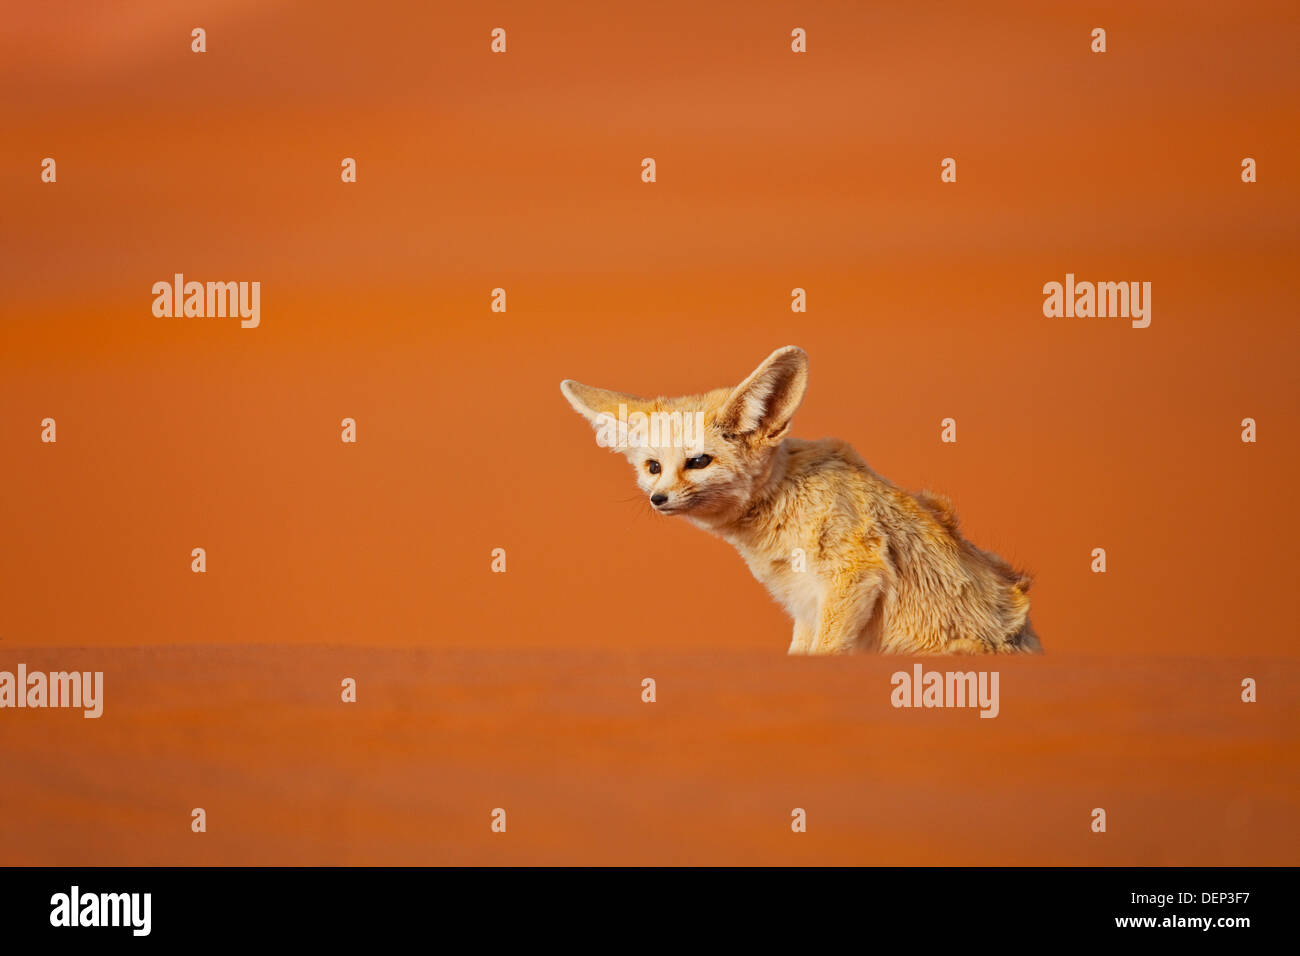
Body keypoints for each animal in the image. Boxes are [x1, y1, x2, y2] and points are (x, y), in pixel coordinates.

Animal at [560, 346, 1042, 655]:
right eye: (653, 467)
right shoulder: (805, 604)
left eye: (698, 462)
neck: (782, 503)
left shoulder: (853, 576)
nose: (658, 499)